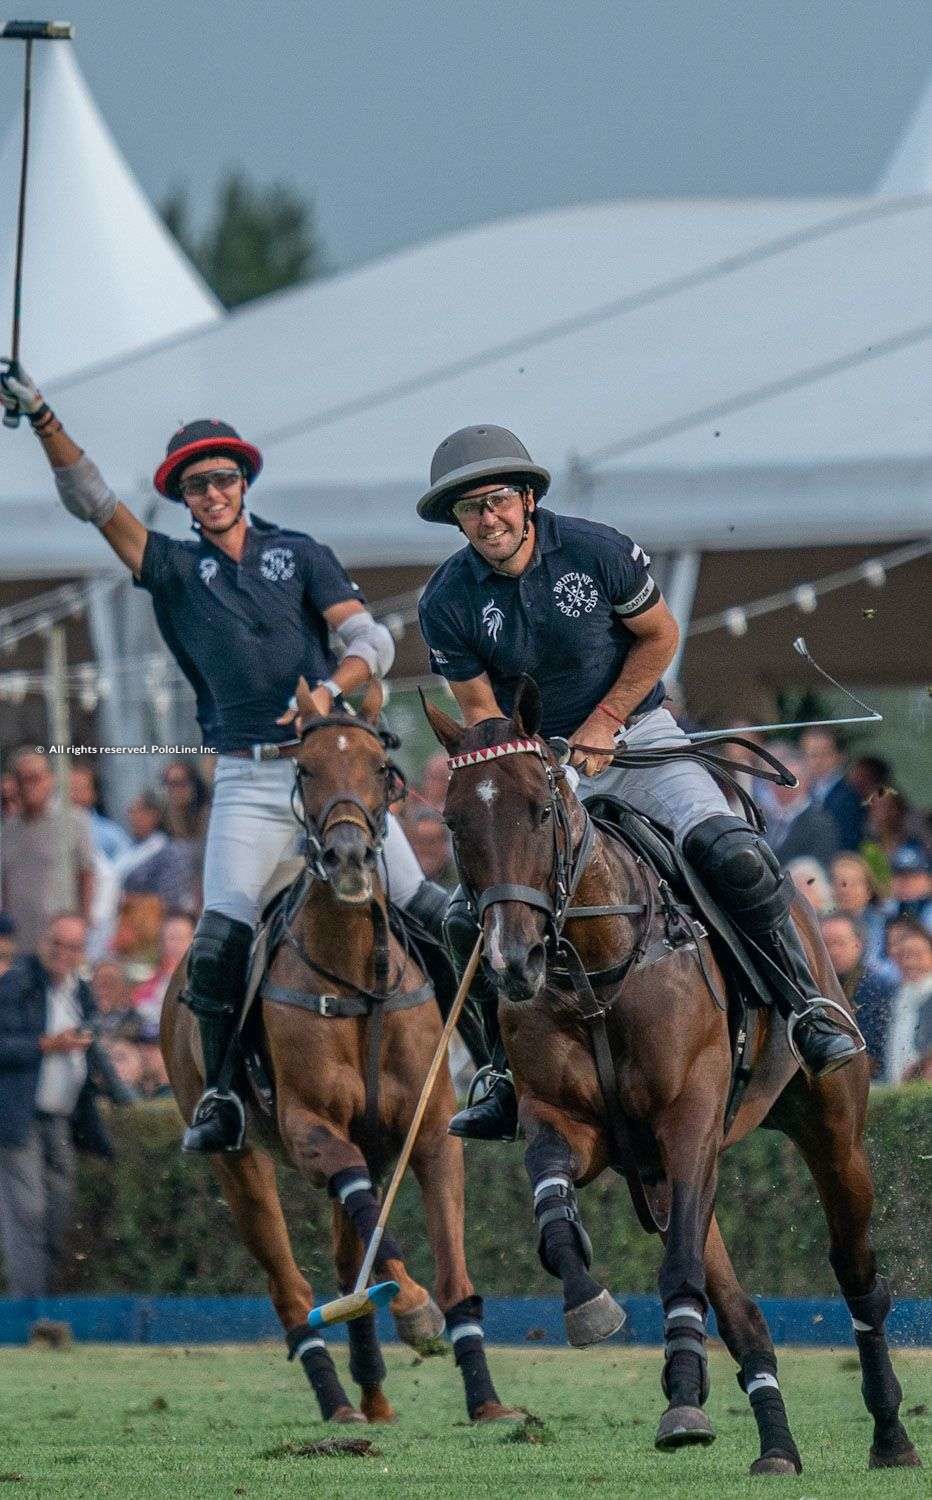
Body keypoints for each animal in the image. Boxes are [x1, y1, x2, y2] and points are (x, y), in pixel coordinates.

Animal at [164, 690, 519, 1428]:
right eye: (304, 768)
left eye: (382, 767)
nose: (350, 856)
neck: (360, 982)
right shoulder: (311, 1132)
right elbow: (368, 1226)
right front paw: (413, 1309)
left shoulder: (427, 1132)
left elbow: (452, 1269)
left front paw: (487, 1401)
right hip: (239, 1162)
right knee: (293, 1290)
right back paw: (338, 1403)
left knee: (342, 1250)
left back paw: (374, 1394)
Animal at [426, 684, 918, 1476]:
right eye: (453, 818)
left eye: (540, 808)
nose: (509, 963)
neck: (595, 965)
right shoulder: (569, 1121)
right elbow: (552, 1200)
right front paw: (589, 1302)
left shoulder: (689, 1115)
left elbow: (681, 1262)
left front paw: (684, 1392)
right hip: (666, 1167)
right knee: (743, 1312)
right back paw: (776, 1446)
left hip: (829, 1125)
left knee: (855, 1271)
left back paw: (890, 1435)